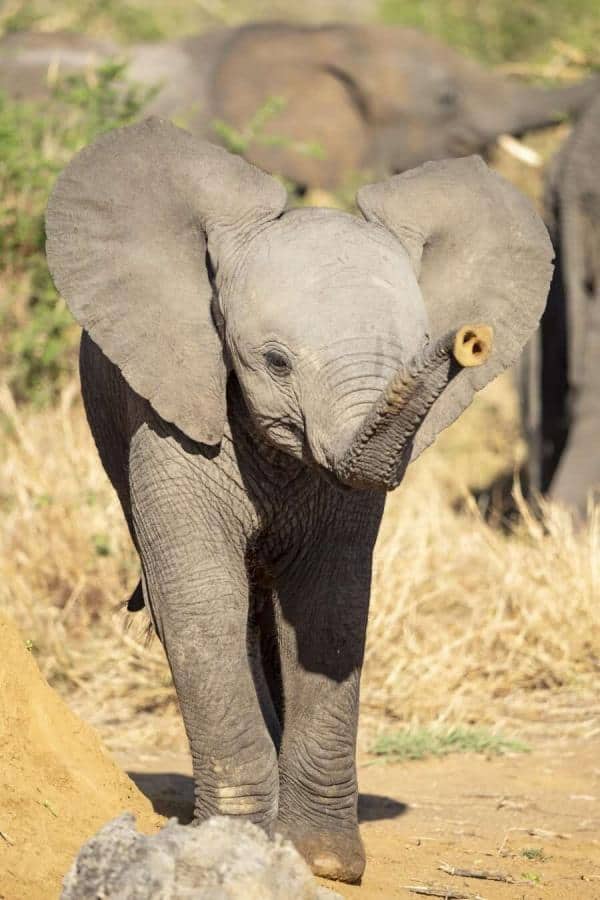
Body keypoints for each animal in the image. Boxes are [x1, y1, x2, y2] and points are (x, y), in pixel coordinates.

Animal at [47, 116, 552, 884]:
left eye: (414, 348)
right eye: (276, 363)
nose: (469, 339)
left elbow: (329, 602)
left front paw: (324, 862)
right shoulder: (170, 409)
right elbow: (200, 595)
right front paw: (233, 843)